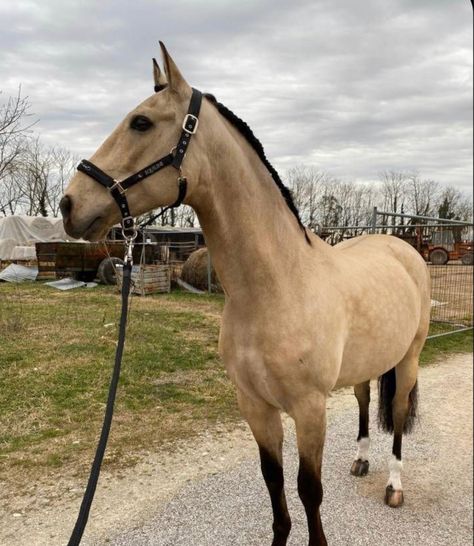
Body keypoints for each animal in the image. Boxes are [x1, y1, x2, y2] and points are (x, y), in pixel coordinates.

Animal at [59, 43, 430, 544]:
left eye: (141, 122)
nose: (69, 205)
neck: (275, 287)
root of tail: (401, 246)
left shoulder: (309, 409)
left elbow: (308, 490)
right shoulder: (255, 407)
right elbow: (274, 484)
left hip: (409, 357)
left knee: (397, 410)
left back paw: (393, 484)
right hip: (367, 363)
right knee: (364, 400)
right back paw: (361, 460)